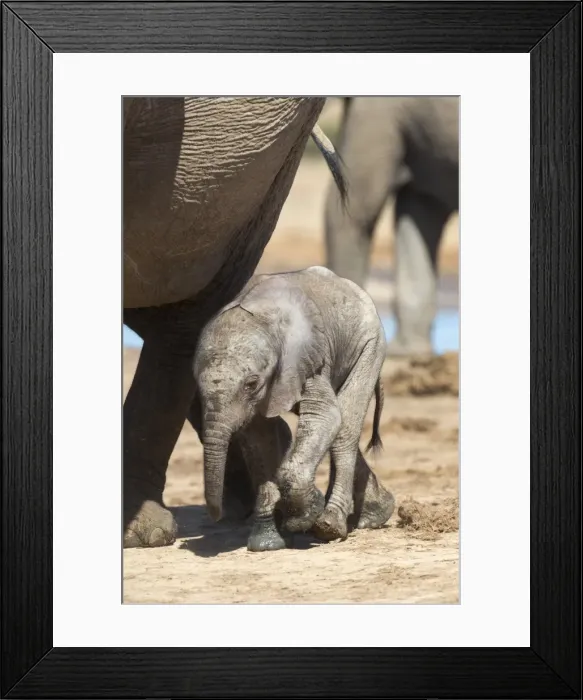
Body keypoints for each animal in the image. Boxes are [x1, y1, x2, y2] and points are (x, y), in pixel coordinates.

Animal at [193, 266, 395, 551]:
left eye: (251, 384)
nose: (217, 515)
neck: (262, 320)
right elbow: (259, 438)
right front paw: (267, 543)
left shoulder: (305, 359)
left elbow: (325, 416)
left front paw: (302, 519)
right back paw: (375, 514)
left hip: (370, 344)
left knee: (345, 427)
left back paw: (330, 525)